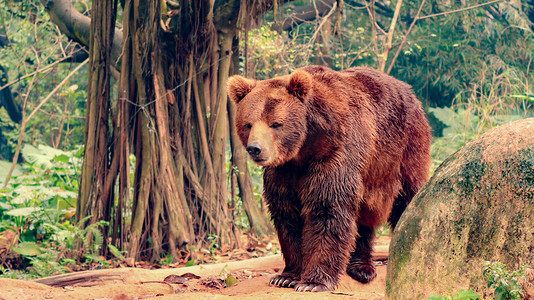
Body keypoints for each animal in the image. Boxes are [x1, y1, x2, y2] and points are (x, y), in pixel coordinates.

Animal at [228, 64, 434, 292]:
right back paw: (361, 267)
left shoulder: (335, 153)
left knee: (408, 198)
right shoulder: (283, 172)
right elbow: (288, 213)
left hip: (402, 149)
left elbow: (328, 209)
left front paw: (313, 282)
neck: (304, 149)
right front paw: (287, 276)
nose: (255, 148)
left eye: (276, 124)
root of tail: (408, 89)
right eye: (248, 123)